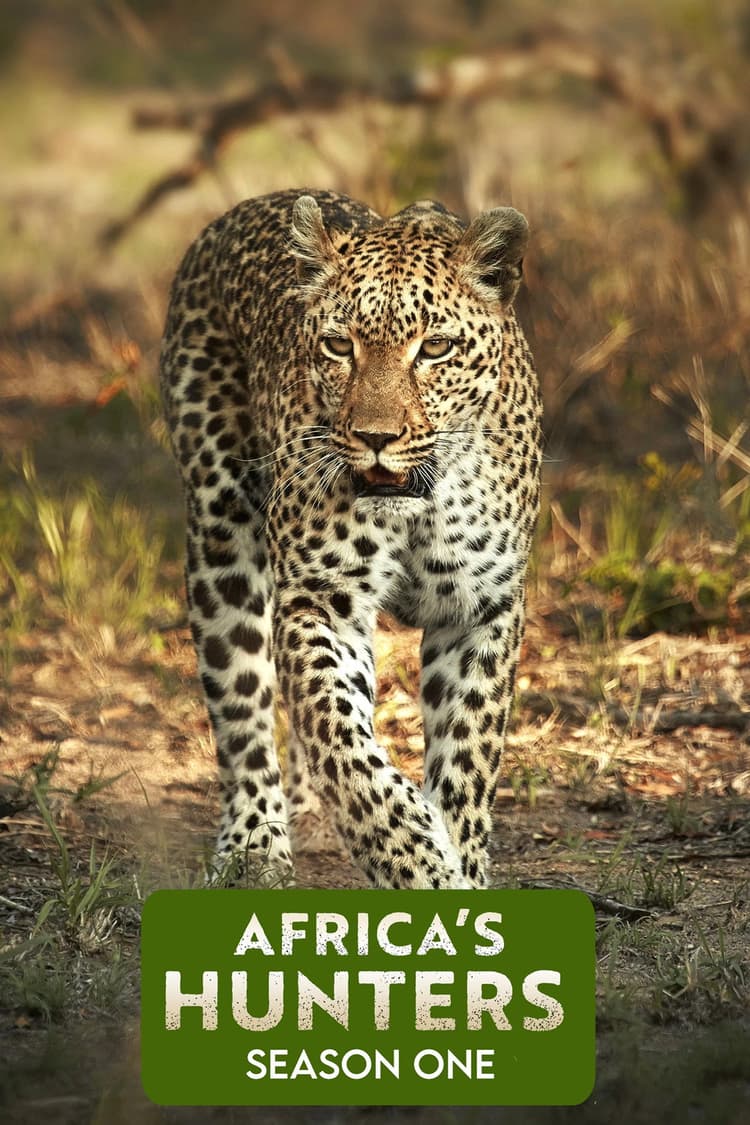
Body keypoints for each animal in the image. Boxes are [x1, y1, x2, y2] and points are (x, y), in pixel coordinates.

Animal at [160, 188, 542, 889]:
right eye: (340, 346)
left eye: (435, 347)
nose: (375, 437)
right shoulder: (322, 602)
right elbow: (343, 743)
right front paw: (415, 863)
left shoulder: (482, 608)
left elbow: (469, 753)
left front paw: (462, 867)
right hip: (220, 534)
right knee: (243, 707)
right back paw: (255, 844)